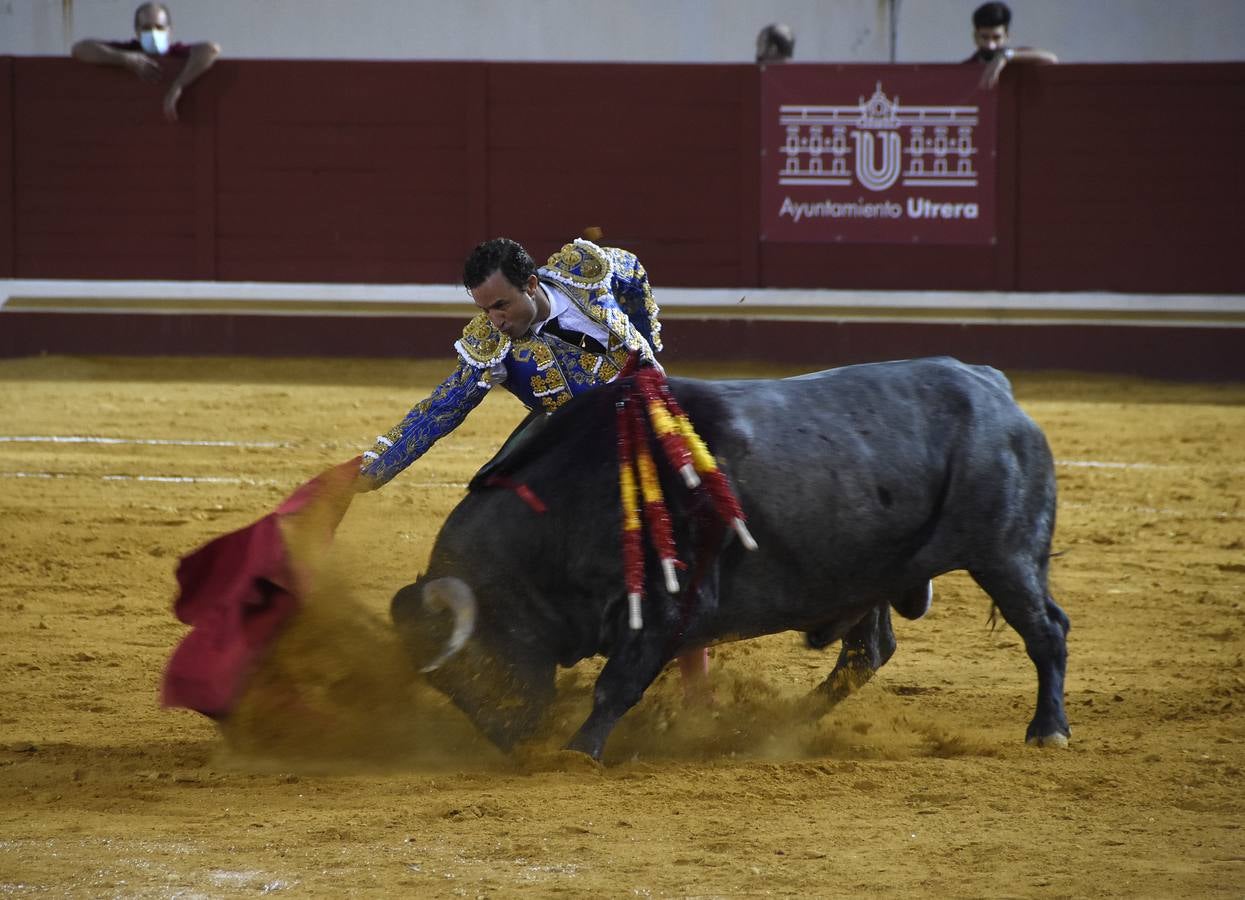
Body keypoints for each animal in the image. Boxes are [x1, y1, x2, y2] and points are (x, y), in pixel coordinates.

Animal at [395, 358, 1070, 761]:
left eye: (469, 663)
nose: (513, 739)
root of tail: (994, 388)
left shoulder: (669, 606)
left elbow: (617, 685)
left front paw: (577, 754)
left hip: (1006, 554)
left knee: (1046, 632)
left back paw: (1049, 731)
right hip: (873, 574)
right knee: (868, 652)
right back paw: (779, 726)